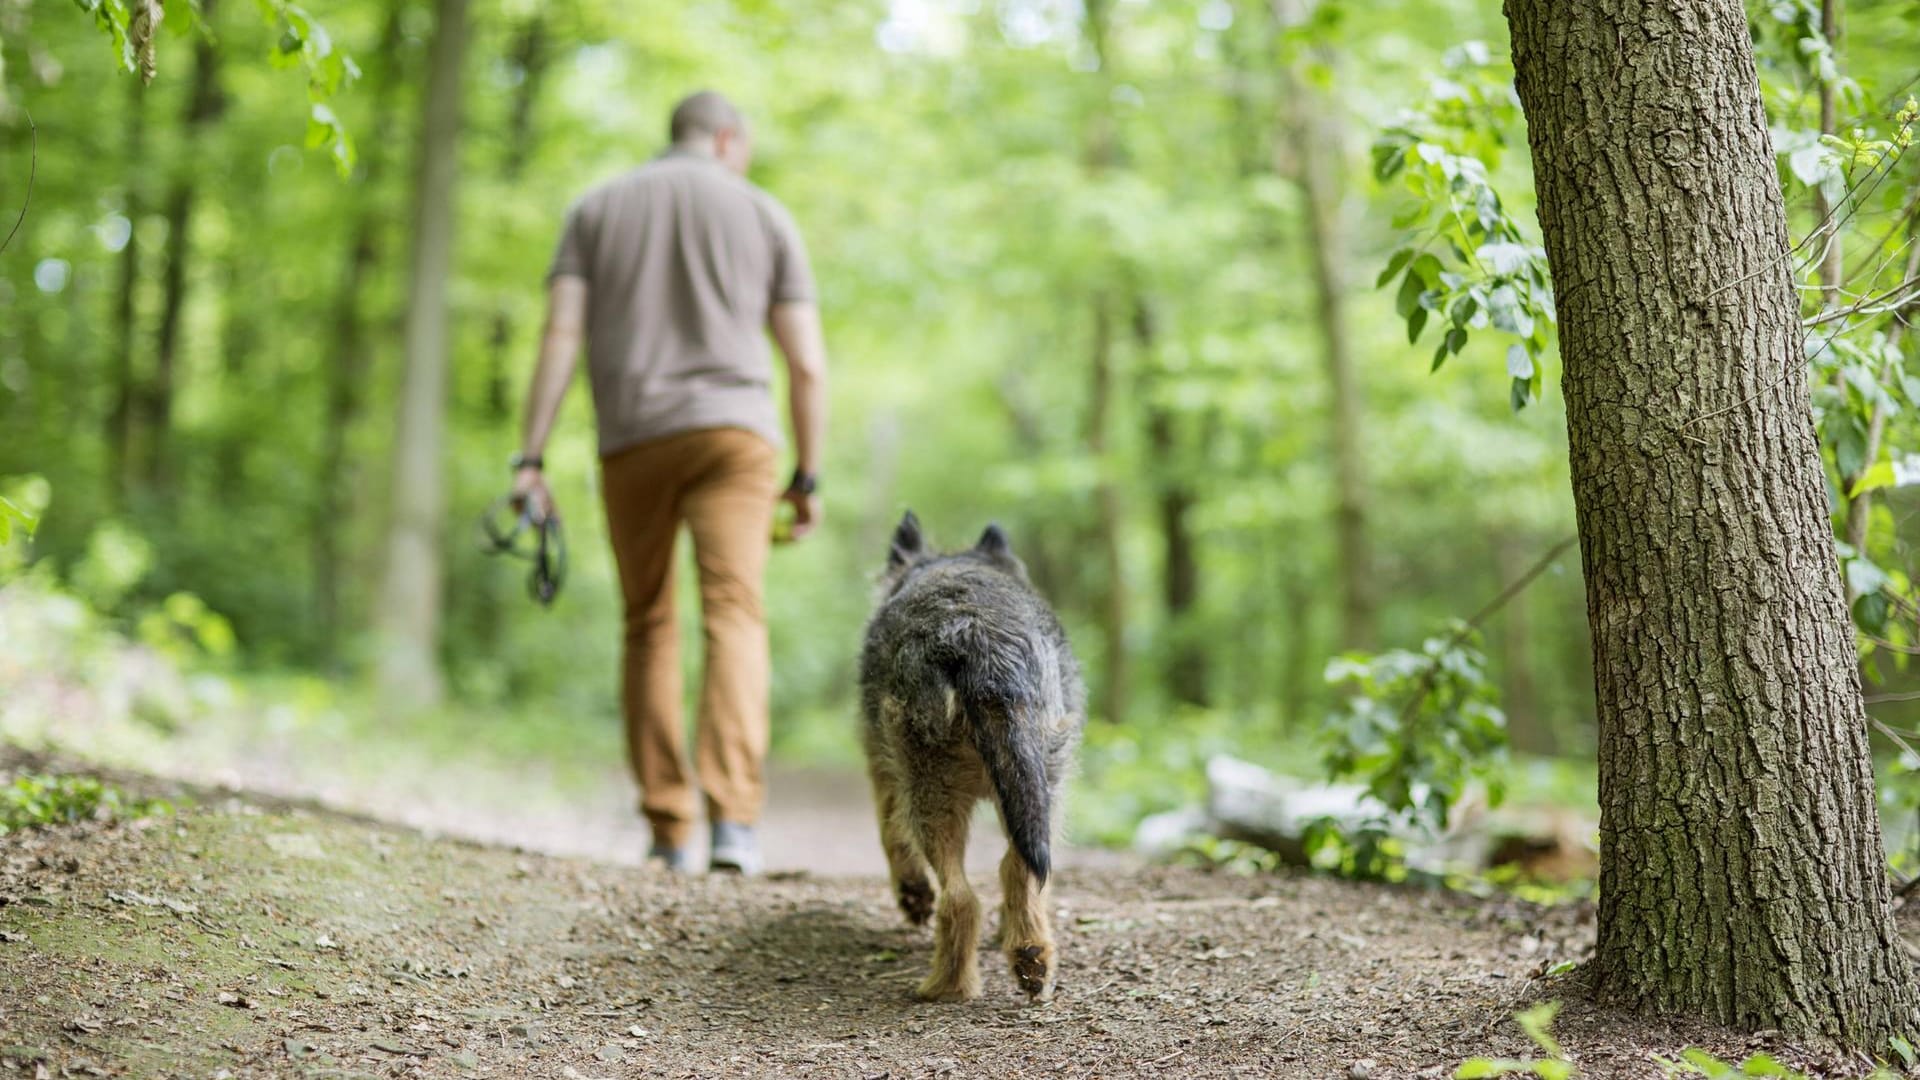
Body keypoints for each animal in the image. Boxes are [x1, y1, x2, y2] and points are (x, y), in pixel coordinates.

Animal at [864, 507, 1090, 999]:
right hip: (1044, 783)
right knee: (1016, 873)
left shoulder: (883, 771)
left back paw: (945, 985)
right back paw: (1030, 956)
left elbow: (890, 836)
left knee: (959, 897)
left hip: (927, 789)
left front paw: (911, 894)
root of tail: (979, 636)